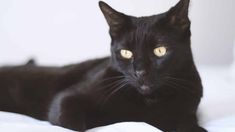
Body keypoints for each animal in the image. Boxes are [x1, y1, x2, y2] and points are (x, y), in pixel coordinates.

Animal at [0, 0, 207, 131]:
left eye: (160, 51)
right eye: (126, 53)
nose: (140, 72)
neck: (148, 101)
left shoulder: (187, 113)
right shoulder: (66, 99)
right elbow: (74, 124)